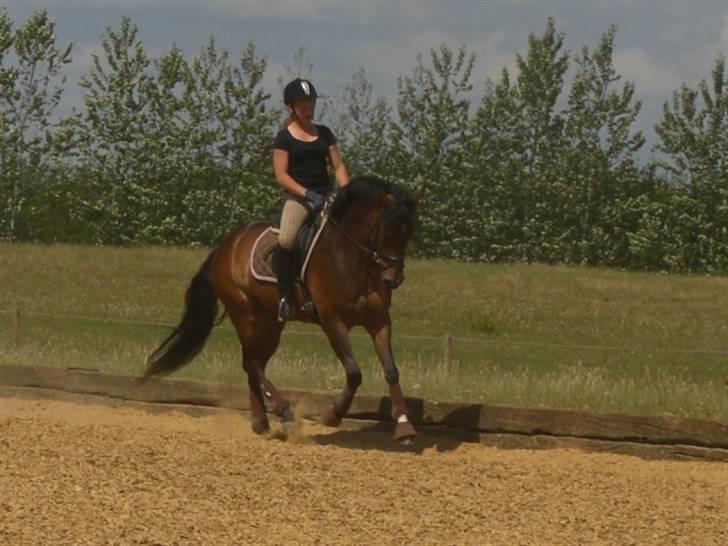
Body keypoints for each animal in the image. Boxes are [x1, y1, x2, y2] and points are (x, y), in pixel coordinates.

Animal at [143, 175, 422, 442]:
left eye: (409, 232)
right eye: (386, 230)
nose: (393, 279)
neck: (352, 258)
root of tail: (225, 245)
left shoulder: (379, 319)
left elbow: (391, 371)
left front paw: (404, 427)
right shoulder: (332, 320)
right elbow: (354, 373)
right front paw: (332, 415)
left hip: (270, 322)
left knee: (253, 363)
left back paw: (261, 423)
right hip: (245, 314)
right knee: (252, 363)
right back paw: (285, 413)